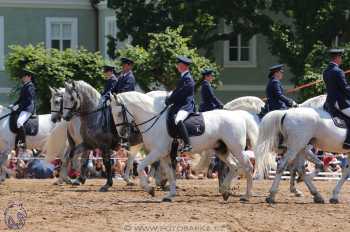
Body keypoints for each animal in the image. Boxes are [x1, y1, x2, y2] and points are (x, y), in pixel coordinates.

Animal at [110, 91, 258, 202]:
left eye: (119, 113)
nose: (122, 134)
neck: (154, 120)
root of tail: (239, 115)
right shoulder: (164, 155)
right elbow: (170, 174)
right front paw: (170, 195)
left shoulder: (157, 152)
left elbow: (140, 167)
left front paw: (150, 190)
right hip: (221, 149)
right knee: (234, 166)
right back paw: (225, 191)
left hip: (236, 148)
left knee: (247, 167)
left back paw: (246, 196)